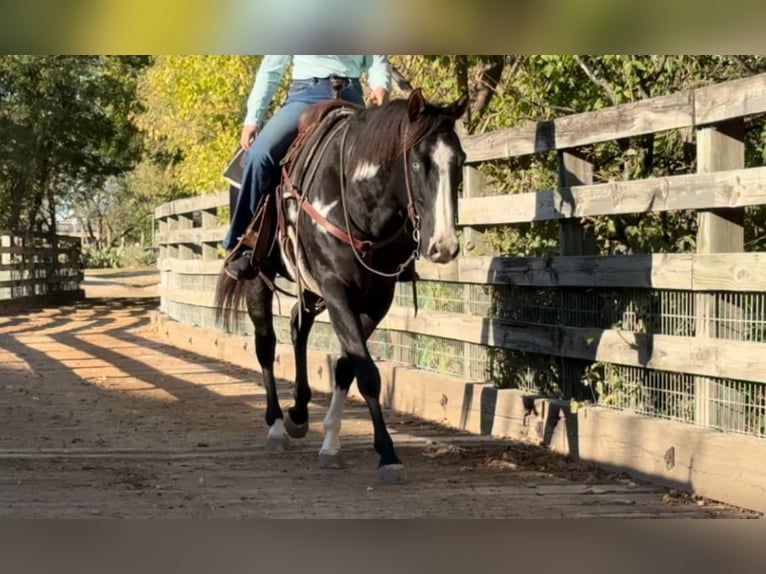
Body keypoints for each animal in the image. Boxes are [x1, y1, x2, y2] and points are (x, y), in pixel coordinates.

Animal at [213, 89, 472, 486]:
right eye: (416, 164)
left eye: (460, 161)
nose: (443, 246)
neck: (354, 196)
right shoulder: (336, 289)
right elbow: (367, 373)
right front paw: (388, 454)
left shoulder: (375, 299)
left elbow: (347, 365)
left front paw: (331, 441)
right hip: (258, 277)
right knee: (266, 344)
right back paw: (276, 425)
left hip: (309, 287)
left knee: (297, 324)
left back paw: (299, 413)